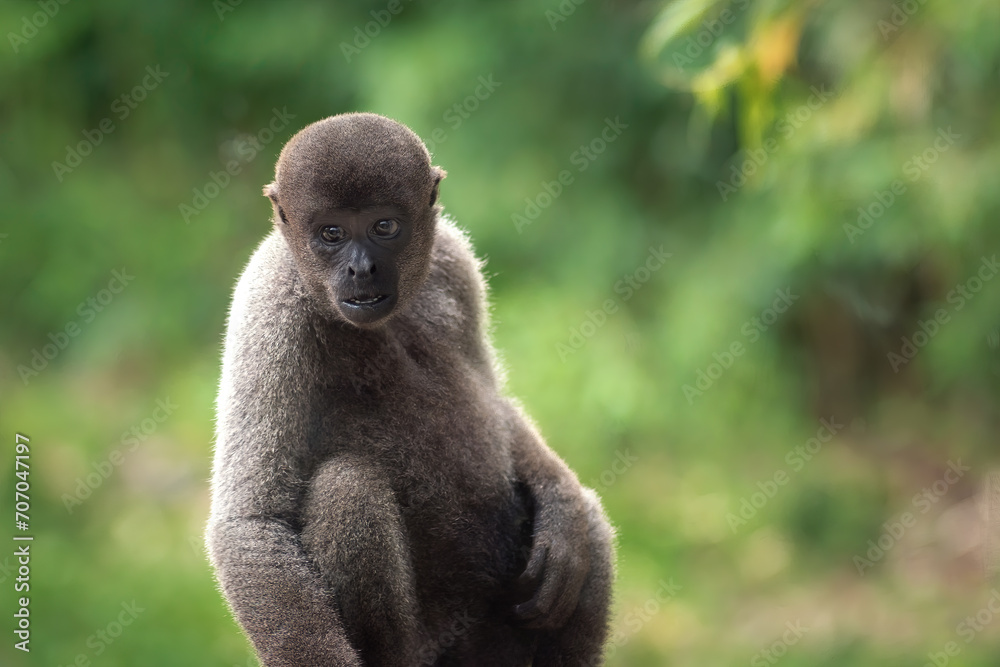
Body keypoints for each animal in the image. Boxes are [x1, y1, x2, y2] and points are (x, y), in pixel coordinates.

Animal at [206, 112, 615, 667]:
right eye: (331, 233)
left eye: (385, 227)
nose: (361, 267)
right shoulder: (268, 304)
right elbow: (250, 522)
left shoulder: (454, 258)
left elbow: (494, 397)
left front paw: (559, 500)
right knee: (347, 486)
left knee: (591, 524)